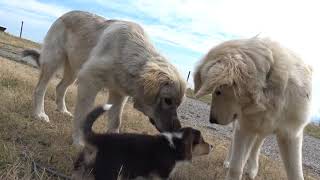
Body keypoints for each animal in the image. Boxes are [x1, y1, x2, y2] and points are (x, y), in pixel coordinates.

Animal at [23, 10, 186, 146]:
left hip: (74, 71)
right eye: (167, 100)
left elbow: (116, 122)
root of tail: (65, 14)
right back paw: (39, 114)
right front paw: (79, 142)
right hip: (53, 62)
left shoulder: (118, 94)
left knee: (60, 87)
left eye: (178, 104)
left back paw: (62, 110)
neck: (128, 54)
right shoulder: (89, 81)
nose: (178, 129)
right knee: (40, 89)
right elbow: (83, 116)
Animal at [72, 104, 212, 180]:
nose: (212, 146)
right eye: (202, 140)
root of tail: (99, 138)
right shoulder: (160, 175)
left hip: (83, 165)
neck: (176, 145)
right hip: (109, 171)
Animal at [194, 37, 312, 179]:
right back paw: (229, 162)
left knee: (256, 145)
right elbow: (236, 167)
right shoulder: (244, 128)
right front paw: (233, 168)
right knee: (236, 144)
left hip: (261, 130)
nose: (212, 120)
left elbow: (296, 174)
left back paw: (252, 169)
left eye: (218, 92)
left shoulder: (291, 135)